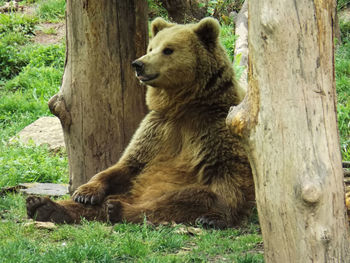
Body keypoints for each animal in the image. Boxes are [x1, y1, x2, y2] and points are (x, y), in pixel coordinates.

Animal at [25, 17, 254, 230]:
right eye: (151, 47)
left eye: (168, 49)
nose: (138, 64)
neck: (183, 106)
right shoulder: (157, 129)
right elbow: (127, 164)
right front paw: (85, 192)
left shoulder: (213, 126)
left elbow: (229, 175)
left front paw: (215, 217)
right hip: (131, 188)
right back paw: (42, 206)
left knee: (184, 199)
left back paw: (118, 209)